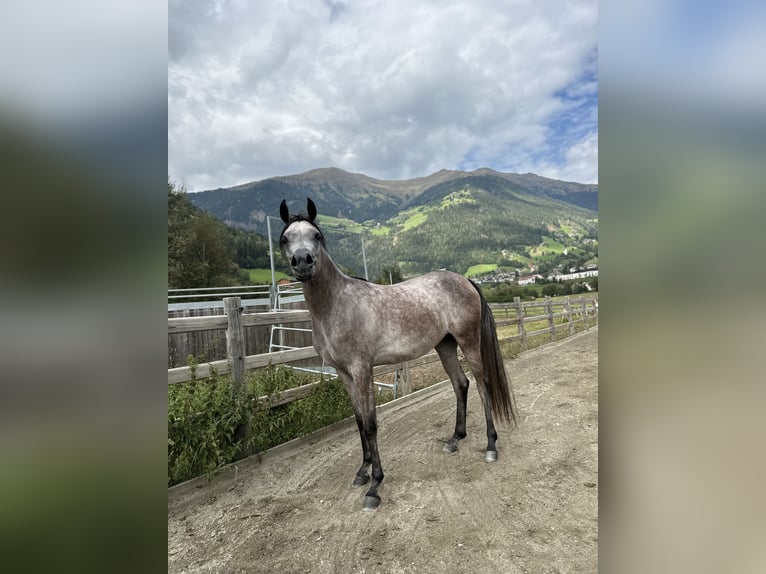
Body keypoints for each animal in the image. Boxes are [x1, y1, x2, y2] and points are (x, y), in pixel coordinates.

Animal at [280, 199, 520, 512]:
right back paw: (454, 439)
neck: (337, 305)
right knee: (461, 384)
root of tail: (465, 280)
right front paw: (362, 472)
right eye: (285, 239)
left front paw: (375, 486)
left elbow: (371, 425)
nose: (303, 262)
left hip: (468, 342)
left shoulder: (362, 370)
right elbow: (359, 421)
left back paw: (491, 446)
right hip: (445, 346)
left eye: (317, 236)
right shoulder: (344, 374)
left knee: (482, 385)